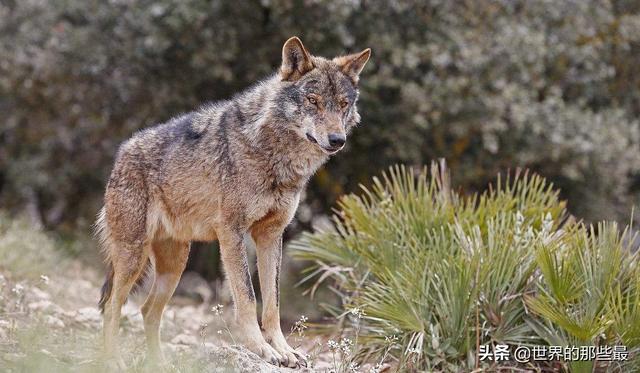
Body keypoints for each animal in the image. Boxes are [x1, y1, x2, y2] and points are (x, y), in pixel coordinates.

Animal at [92, 36, 368, 368]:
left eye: (343, 104)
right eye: (312, 101)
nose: (337, 140)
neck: (274, 156)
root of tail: (121, 153)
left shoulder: (270, 236)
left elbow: (272, 303)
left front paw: (284, 350)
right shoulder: (231, 233)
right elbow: (247, 298)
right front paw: (262, 350)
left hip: (175, 264)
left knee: (147, 311)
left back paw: (160, 365)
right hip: (134, 256)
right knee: (112, 306)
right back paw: (113, 361)